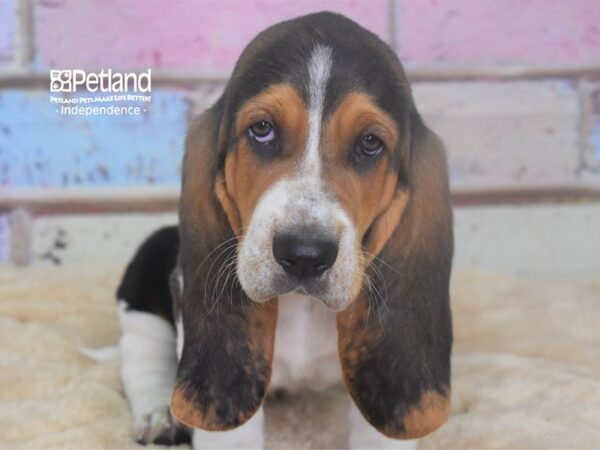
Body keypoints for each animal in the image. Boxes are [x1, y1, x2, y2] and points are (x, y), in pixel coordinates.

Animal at [117, 11, 452, 450]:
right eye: (262, 129)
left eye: (370, 143)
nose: (305, 255)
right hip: (147, 272)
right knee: (140, 351)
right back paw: (159, 415)